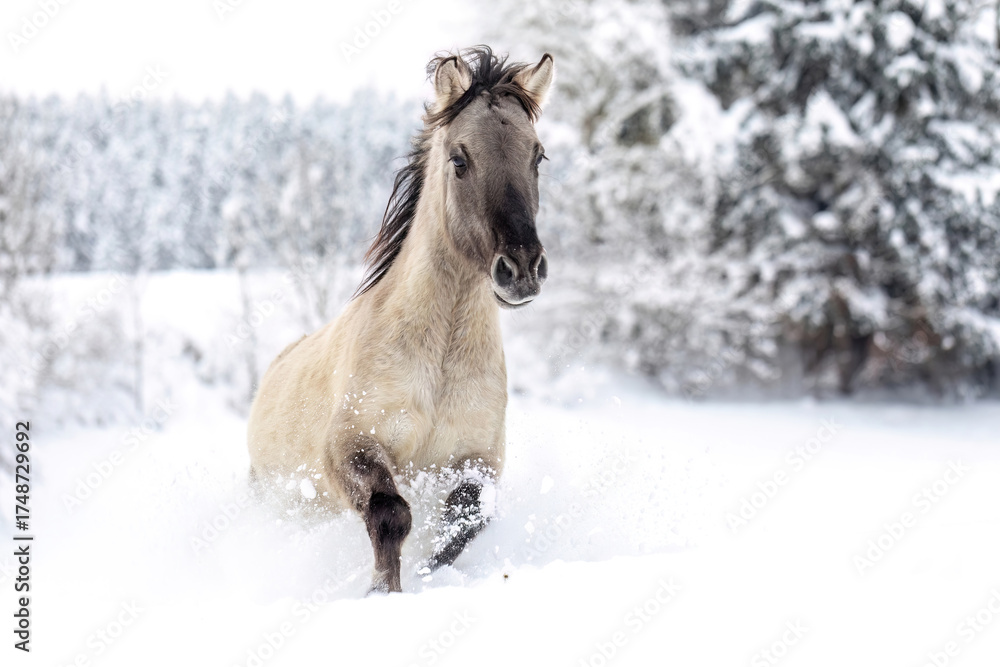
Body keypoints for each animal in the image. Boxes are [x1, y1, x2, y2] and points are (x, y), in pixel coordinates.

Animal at [247, 46, 555, 593]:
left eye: (537, 156)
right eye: (459, 159)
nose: (521, 269)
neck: (439, 356)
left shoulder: (478, 460)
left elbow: (463, 523)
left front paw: (428, 576)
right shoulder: (350, 447)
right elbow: (392, 513)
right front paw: (382, 590)